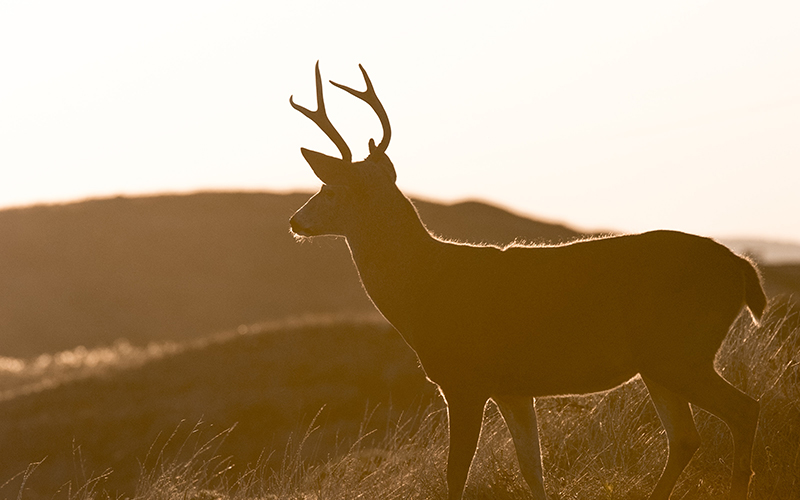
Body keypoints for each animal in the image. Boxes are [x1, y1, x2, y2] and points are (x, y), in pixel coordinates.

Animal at [288, 63, 768, 500]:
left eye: (328, 189)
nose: (295, 220)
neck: (425, 284)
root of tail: (742, 268)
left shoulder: (466, 379)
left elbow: (455, 476)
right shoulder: (513, 389)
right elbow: (532, 472)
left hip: (681, 350)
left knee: (744, 409)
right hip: (662, 362)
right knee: (686, 436)